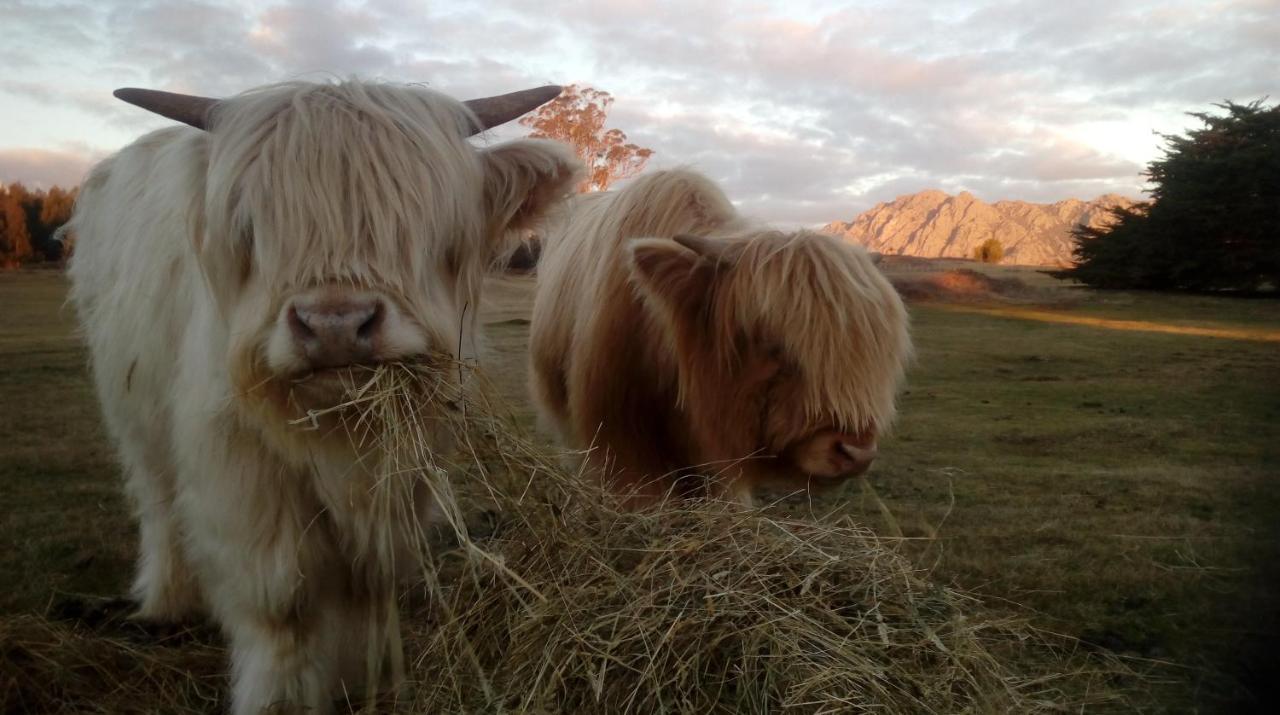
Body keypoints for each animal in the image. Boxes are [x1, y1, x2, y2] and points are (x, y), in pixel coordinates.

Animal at [70, 81, 581, 711]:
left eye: (420, 222)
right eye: (252, 227)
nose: (335, 326)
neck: (339, 431)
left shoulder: (404, 475)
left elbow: (370, 582)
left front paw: (367, 680)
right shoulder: (241, 474)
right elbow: (283, 604)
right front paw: (279, 699)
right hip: (137, 418)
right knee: (160, 504)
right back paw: (165, 605)